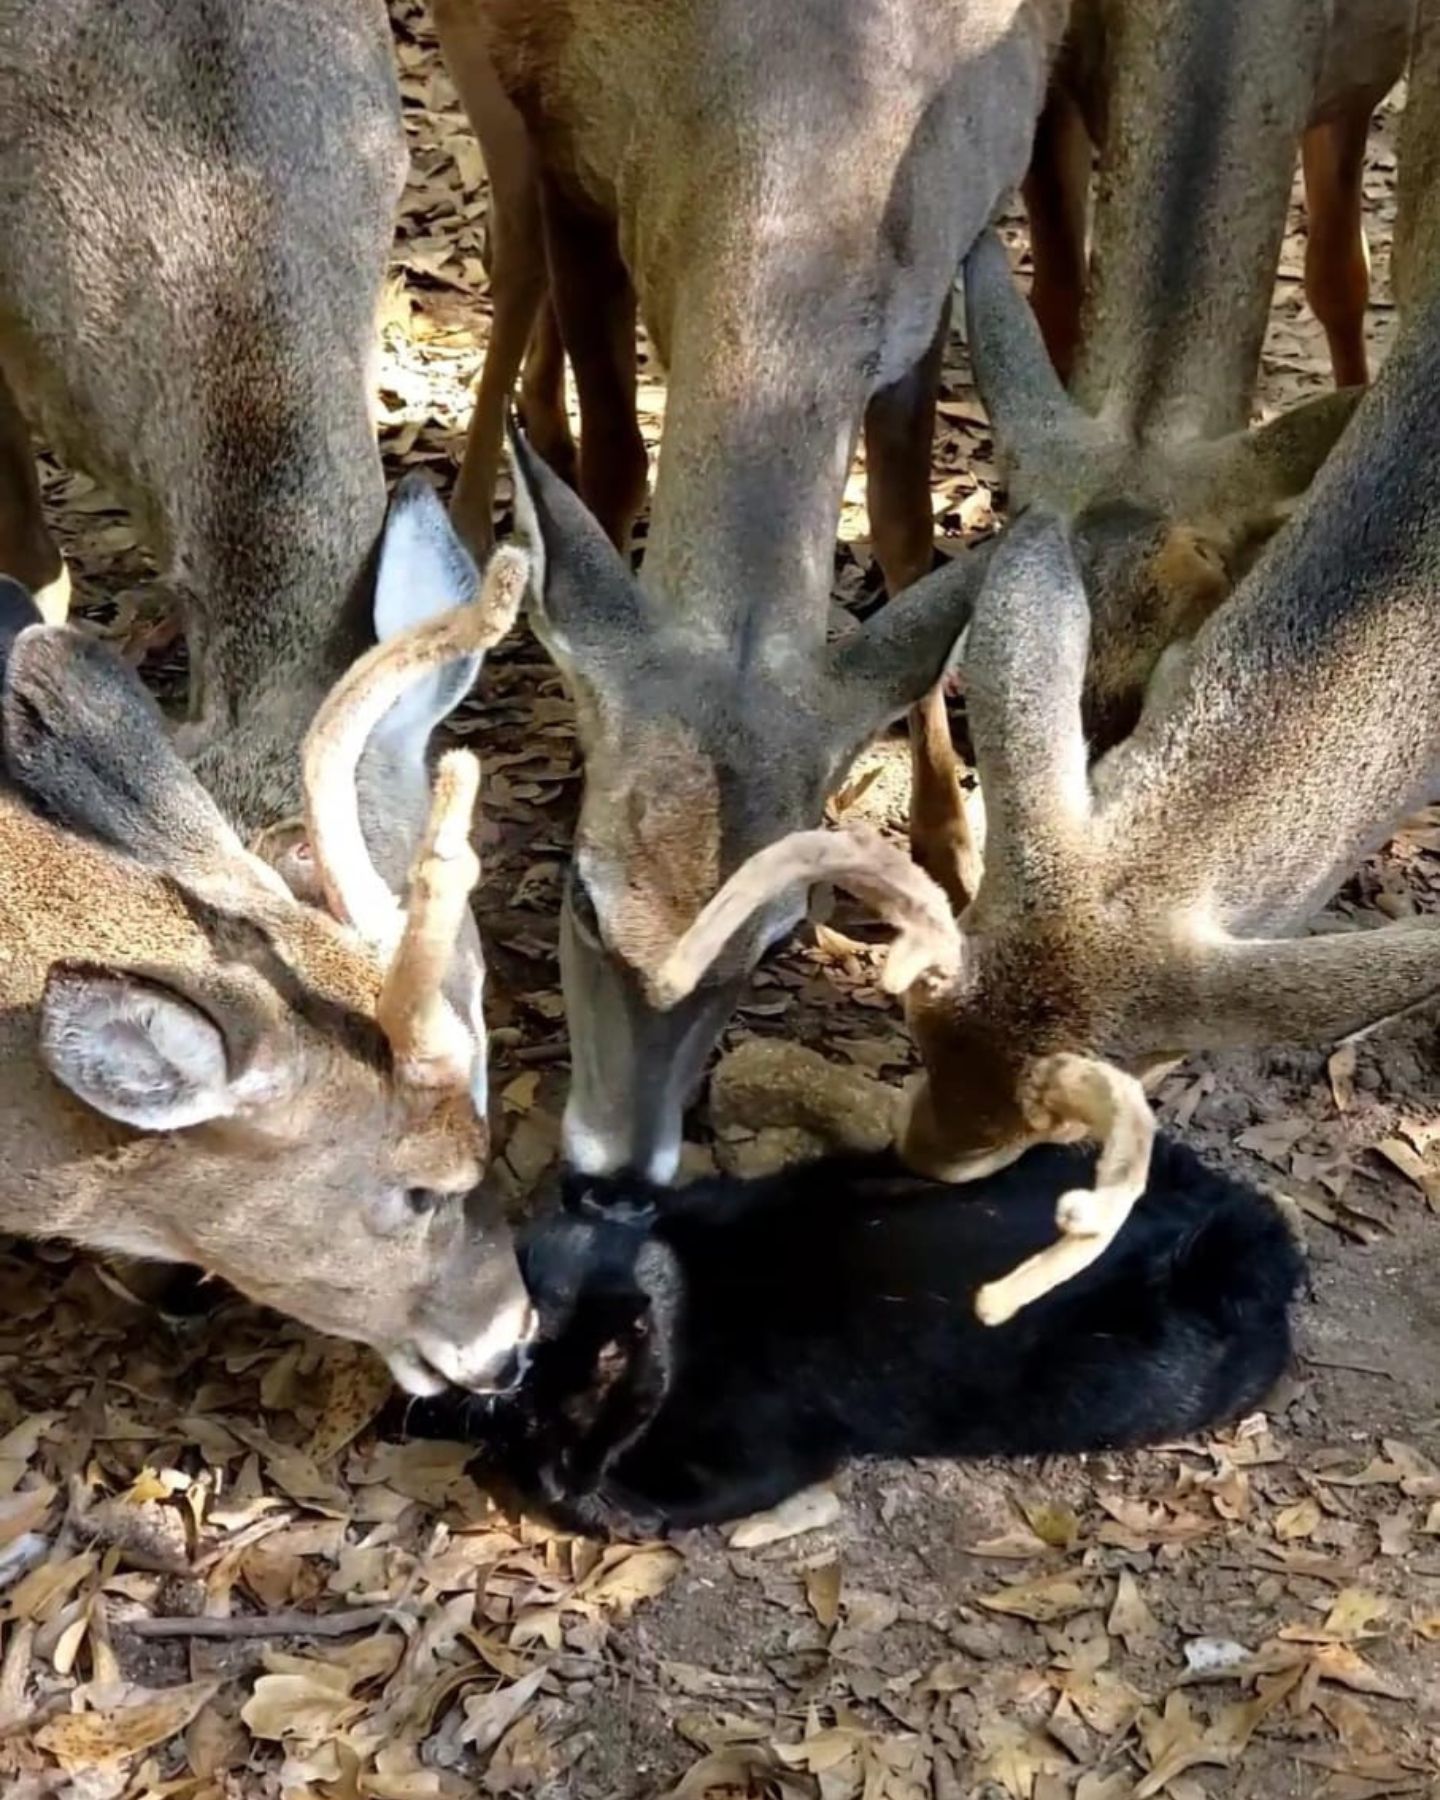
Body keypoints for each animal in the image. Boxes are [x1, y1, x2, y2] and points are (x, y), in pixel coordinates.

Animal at [421, 0, 1087, 1180]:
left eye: (776, 938)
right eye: (583, 898)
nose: (616, 1173)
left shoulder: (931, 279)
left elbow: (908, 536)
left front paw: (951, 838)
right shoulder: (569, 157)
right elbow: (615, 461)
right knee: (509, 269)